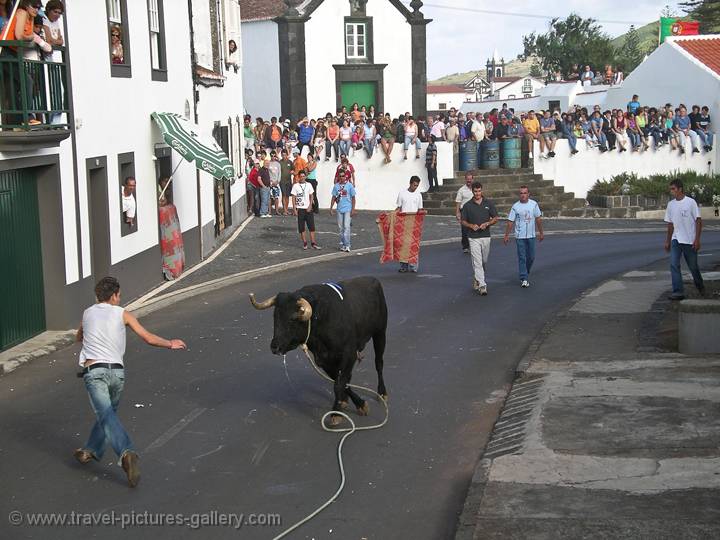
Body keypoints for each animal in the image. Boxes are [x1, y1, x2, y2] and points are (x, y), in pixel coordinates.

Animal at [252, 276, 388, 416]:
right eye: (275, 316)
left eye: (293, 318)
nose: (275, 347)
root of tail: (372, 279)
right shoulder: (323, 360)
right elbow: (340, 381)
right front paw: (348, 402)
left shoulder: (349, 354)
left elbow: (339, 384)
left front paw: (337, 413)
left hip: (380, 333)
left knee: (379, 363)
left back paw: (382, 392)